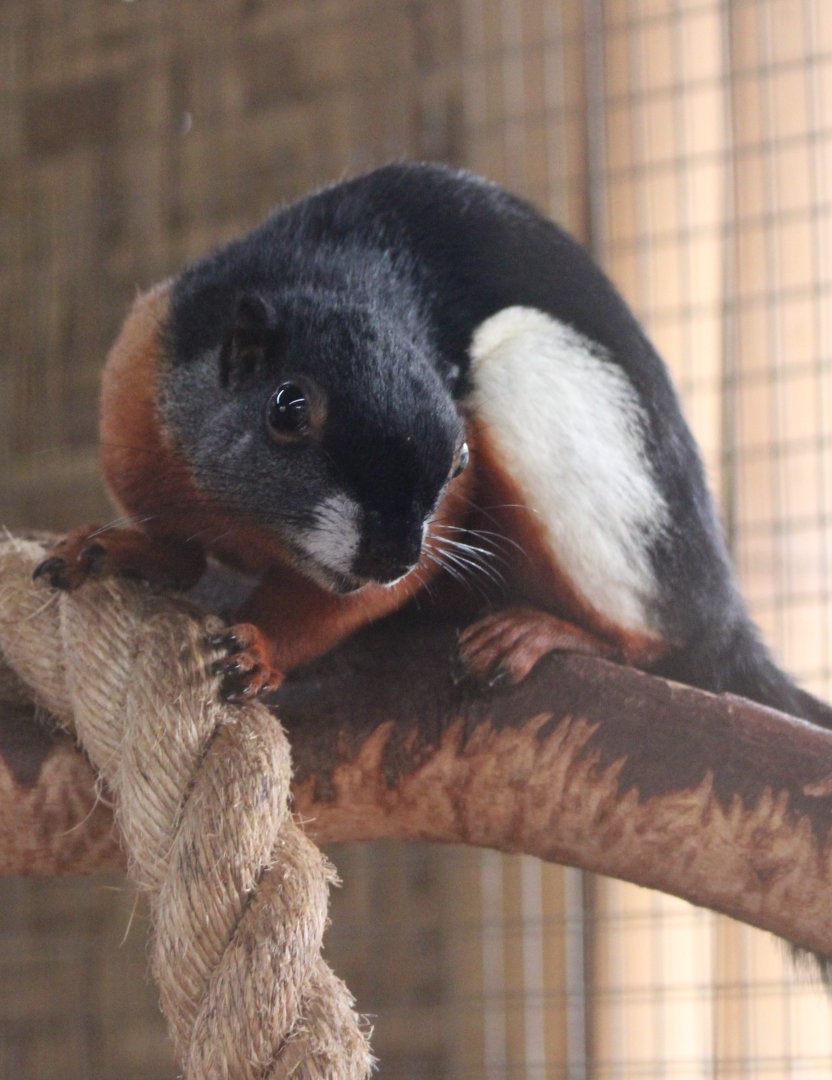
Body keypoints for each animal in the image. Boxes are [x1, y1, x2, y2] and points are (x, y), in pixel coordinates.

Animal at [33, 161, 832, 727]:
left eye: (459, 463)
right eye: (288, 409)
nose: (391, 553)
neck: (249, 521)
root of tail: (720, 601)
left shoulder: (435, 515)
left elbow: (345, 603)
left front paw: (263, 642)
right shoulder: (142, 373)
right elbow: (178, 553)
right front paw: (123, 548)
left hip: (562, 427)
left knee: (658, 641)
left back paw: (552, 633)